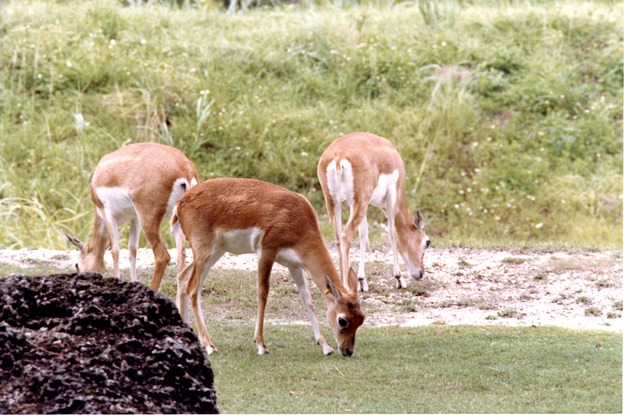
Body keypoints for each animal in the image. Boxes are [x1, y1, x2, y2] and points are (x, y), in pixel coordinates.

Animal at [64, 143, 198, 290]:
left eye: (77, 265)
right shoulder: (135, 217)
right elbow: (132, 250)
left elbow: (115, 250)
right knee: (182, 256)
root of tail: (184, 169)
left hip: (148, 221)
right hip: (177, 222)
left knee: (163, 256)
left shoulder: (106, 212)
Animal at [173, 177, 368, 358]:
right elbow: (263, 293)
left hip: (214, 253)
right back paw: (210, 346)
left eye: (361, 319)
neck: (299, 220)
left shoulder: (295, 265)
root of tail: (181, 202)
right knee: (192, 288)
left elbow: (307, 298)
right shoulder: (267, 251)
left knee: (183, 277)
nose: (348, 350)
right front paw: (261, 345)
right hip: (206, 251)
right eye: (342, 320)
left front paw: (325, 346)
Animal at [318, 131, 432, 292]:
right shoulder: (392, 193)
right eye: (427, 242)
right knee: (346, 235)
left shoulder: (362, 205)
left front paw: (362, 281)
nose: (420, 273)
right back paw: (346, 287)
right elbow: (391, 233)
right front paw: (399, 279)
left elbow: (363, 235)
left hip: (334, 203)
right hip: (358, 202)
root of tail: (339, 155)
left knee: (338, 238)